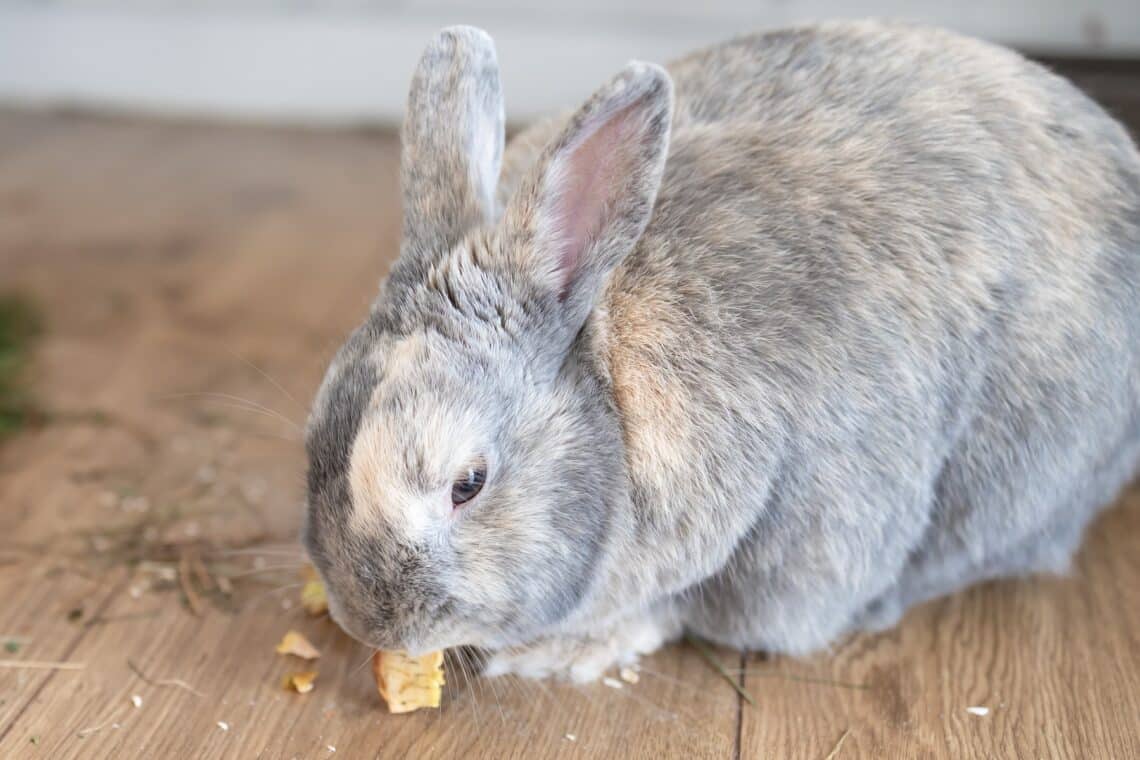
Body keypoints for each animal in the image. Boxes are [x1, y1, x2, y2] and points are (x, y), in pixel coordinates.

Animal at [303, 20, 1140, 679]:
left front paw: (565, 651)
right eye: (314, 435)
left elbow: (687, 611)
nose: (370, 623)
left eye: (468, 484)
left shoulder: (800, 545)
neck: (609, 378)